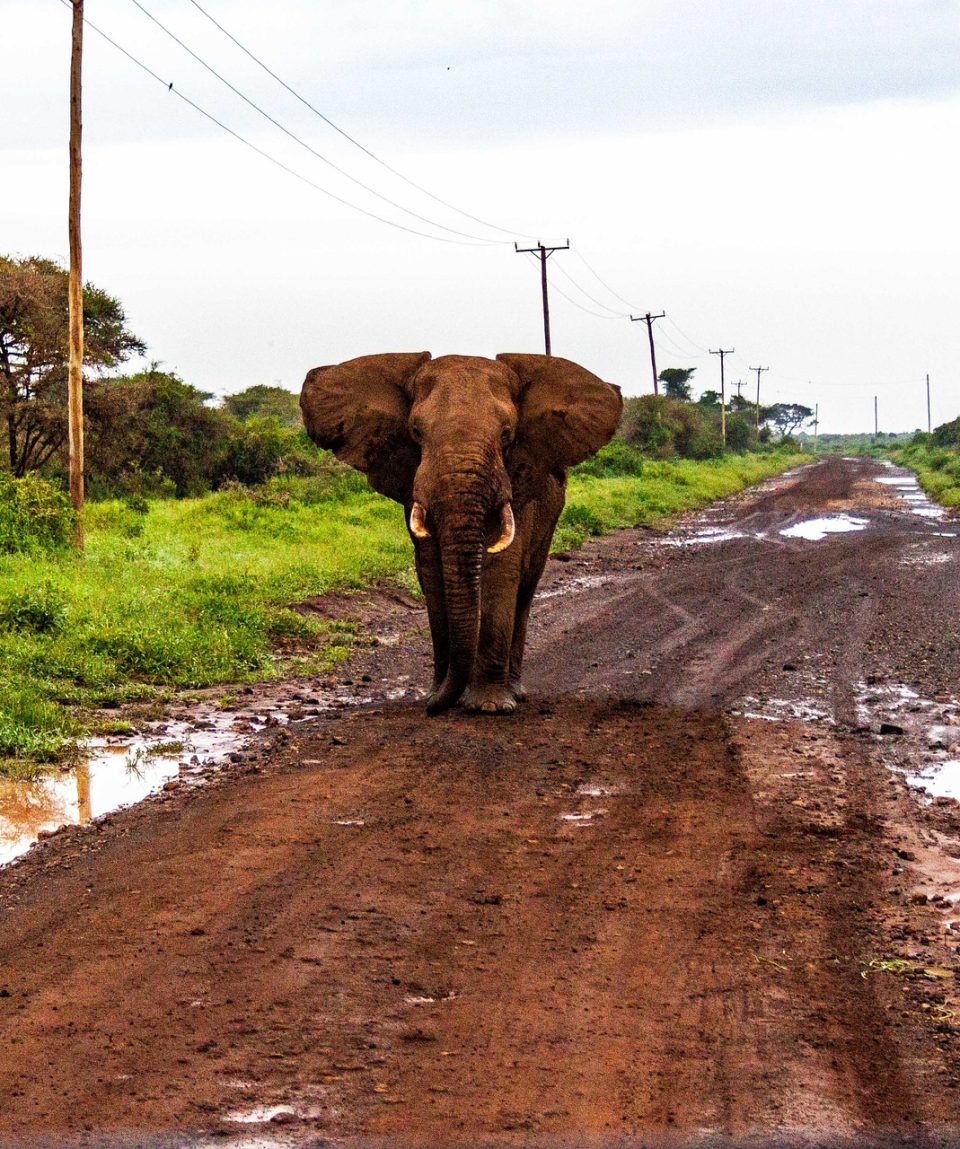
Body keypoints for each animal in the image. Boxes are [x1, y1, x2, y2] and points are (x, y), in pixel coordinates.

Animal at [300, 349, 624, 712]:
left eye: (506, 434)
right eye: (416, 432)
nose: (431, 707)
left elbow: (501, 569)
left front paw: (489, 707)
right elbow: (432, 572)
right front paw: (437, 695)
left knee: (526, 589)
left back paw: (515, 691)